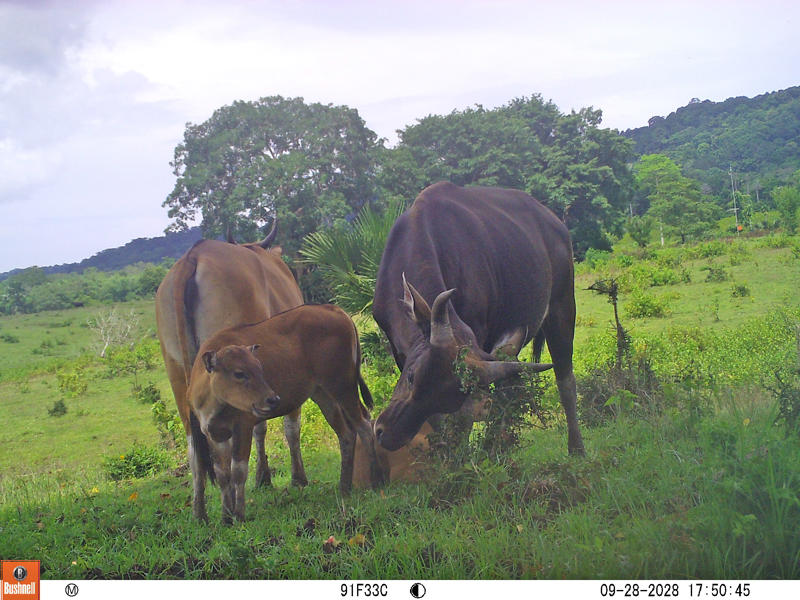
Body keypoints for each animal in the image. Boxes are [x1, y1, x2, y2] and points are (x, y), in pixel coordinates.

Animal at [186, 304, 383, 522]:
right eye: (239, 373)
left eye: (259, 367)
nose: (272, 399)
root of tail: (335, 309)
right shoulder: (213, 433)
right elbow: (222, 475)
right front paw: (225, 517)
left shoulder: (243, 426)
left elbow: (238, 471)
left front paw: (239, 514)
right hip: (323, 394)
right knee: (346, 433)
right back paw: (344, 488)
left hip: (342, 385)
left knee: (364, 424)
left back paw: (376, 481)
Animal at [372, 182, 585, 457]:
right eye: (411, 377)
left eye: (446, 400)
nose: (386, 434)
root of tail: (557, 225)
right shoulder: (398, 348)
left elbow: (465, 417)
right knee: (510, 386)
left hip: (563, 304)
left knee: (565, 379)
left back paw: (576, 447)